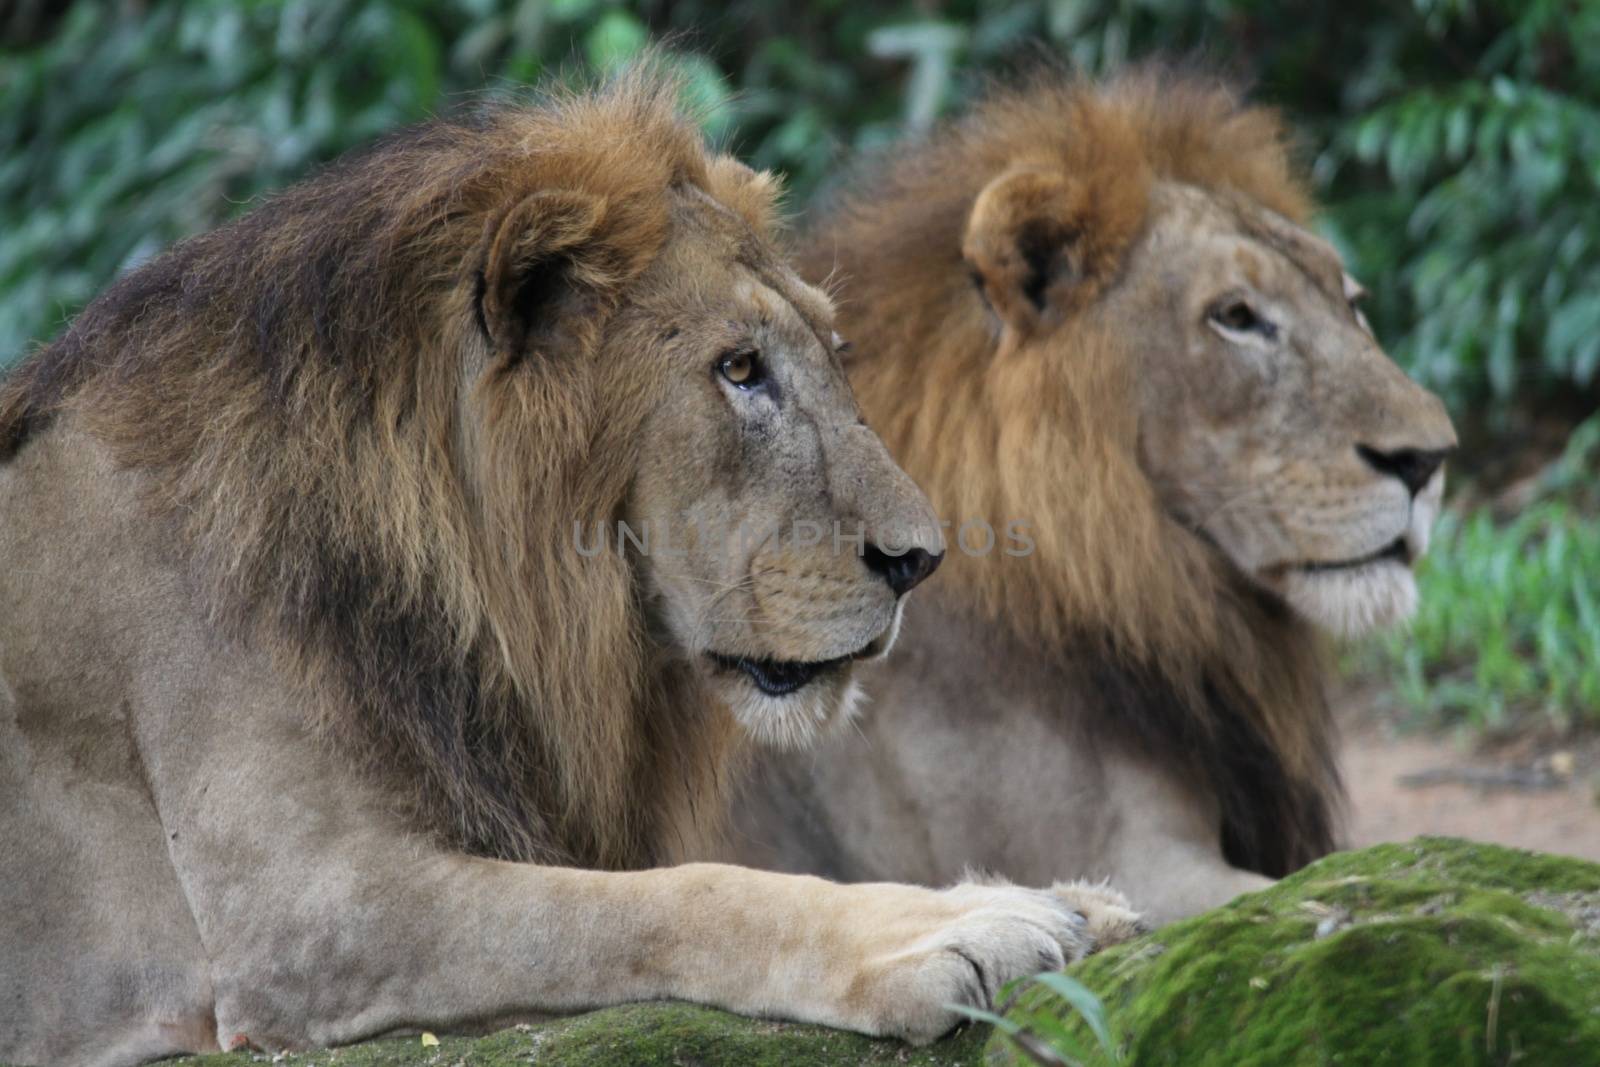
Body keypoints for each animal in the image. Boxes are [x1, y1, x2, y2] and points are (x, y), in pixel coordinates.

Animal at [3, 75, 1152, 1067]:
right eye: (739, 369)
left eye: (835, 353)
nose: (919, 559)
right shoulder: (310, 915)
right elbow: (686, 893)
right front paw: (967, 926)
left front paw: (1075, 900)